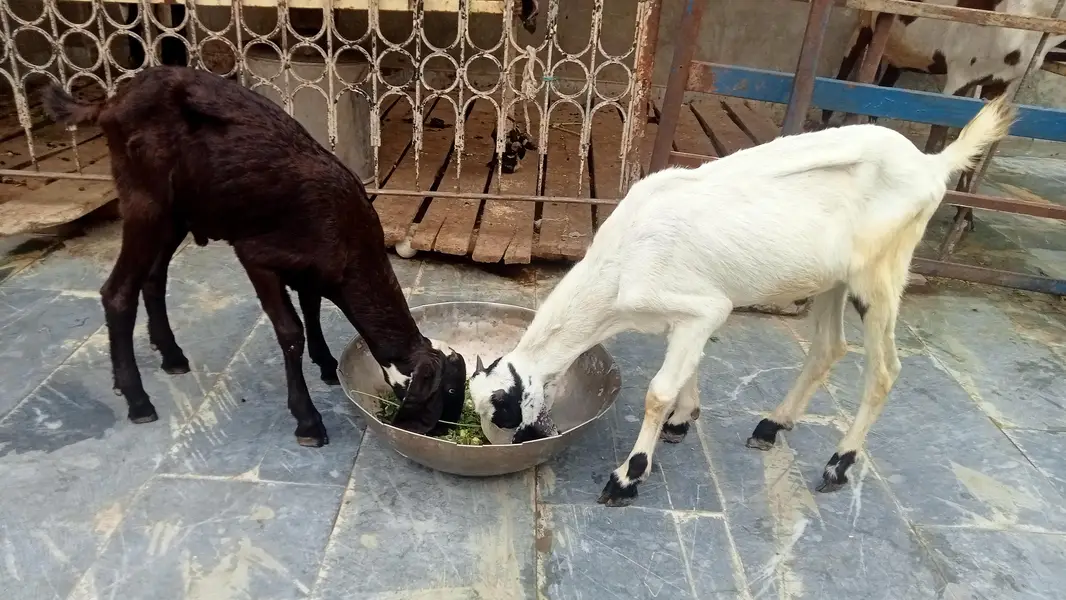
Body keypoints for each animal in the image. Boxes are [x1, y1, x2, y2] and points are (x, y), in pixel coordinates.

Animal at [41, 66, 467, 445]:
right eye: (446, 393)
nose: (441, 432)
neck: (346, 235)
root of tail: (112, 102)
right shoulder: (258, 257)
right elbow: (291, 331)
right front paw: (308, 421)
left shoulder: (312, 270)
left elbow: (312, 308)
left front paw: (327, 364)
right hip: (144, 203)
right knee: (118, 292)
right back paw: (138, 399)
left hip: (177, 214)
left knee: (153, 277)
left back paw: (172, 356)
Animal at [469, 96, 1016, 507]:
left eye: (503, 413)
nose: (503, 449)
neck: (619, 267)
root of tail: (932, 163)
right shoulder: (689, 314)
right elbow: (688, 368)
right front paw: (683, 421)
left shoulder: (702, 304)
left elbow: (658, 392)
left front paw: (628, 476)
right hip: (833, 279)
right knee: (829, 348)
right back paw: (772, 425)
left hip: (879, 275)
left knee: (883, 370)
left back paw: (838, 465)